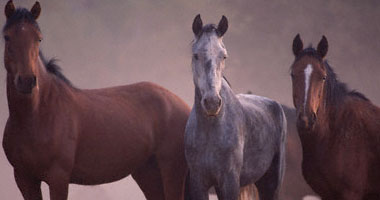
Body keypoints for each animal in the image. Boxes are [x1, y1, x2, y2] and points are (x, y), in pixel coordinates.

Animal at [2, 0, 190, 199]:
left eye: (39, 38)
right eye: (7, 37)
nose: (27, 81)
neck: (38, 115)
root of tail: (181, 104)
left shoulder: (58, 178)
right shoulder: (24, 179)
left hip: (172, 170)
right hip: (147, 173)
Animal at [186, 15, 286, 200]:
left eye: (223, 56)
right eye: (196, 55)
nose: (212, 102)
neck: (210, 129)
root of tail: (275, 105)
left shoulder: (230, 182)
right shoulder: (198, 183)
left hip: (271, 184)